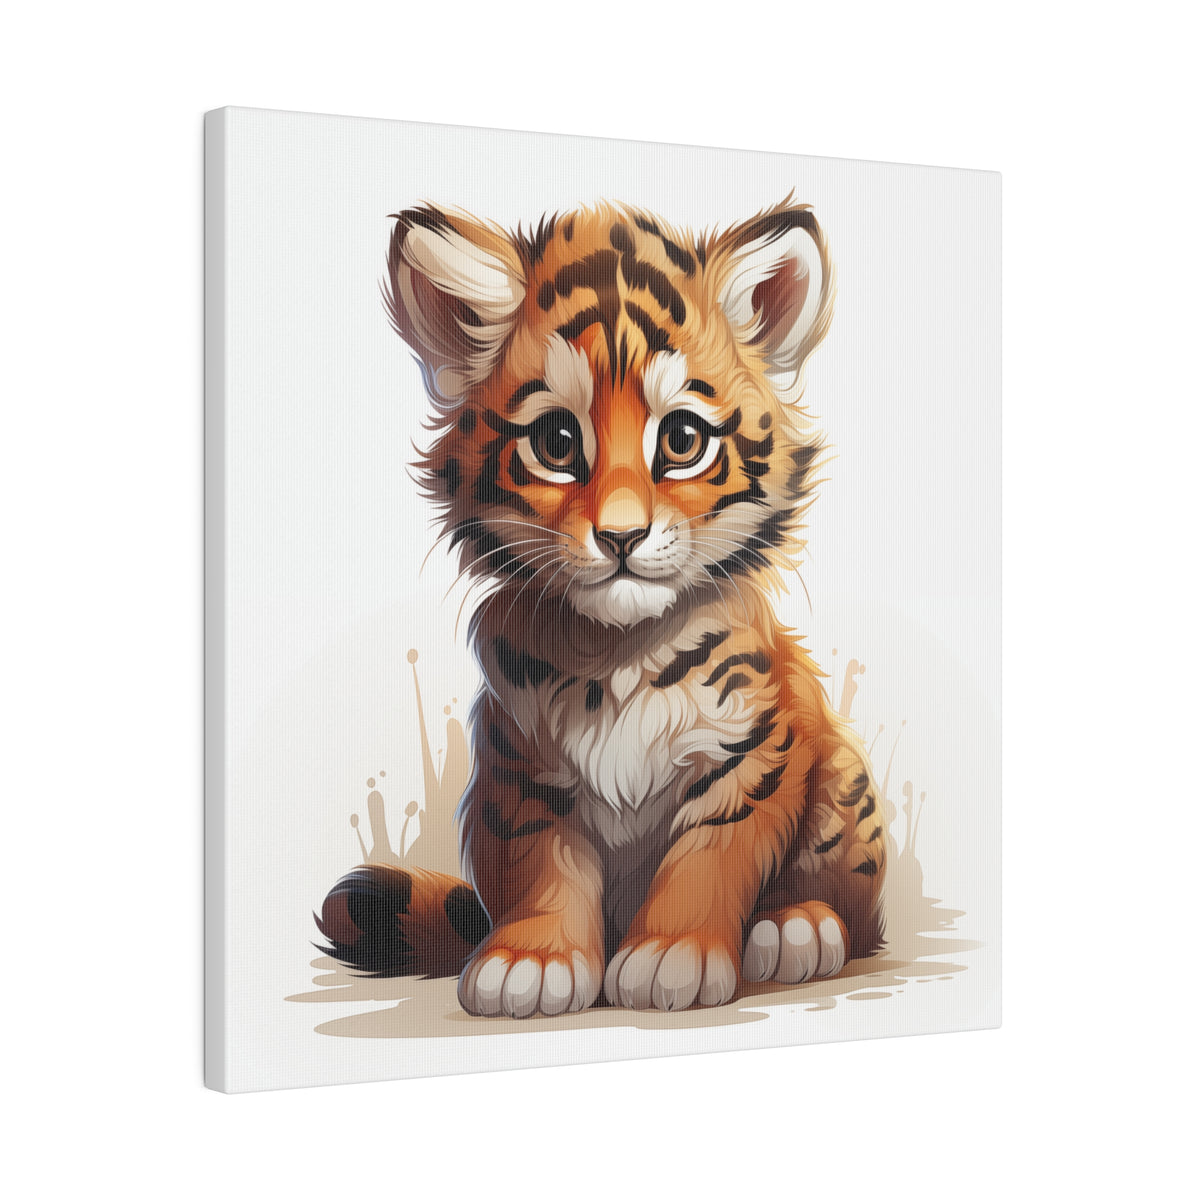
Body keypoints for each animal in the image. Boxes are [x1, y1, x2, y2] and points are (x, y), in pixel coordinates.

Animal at [315, 197, 886, 1016]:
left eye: (681, 439)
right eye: (557, 441)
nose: (621, 536)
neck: (619, 647)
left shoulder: (752, 751)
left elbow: (709, 852)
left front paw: (672, 954)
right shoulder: (517, 764)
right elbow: (539, 864)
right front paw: (531, 960)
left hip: (841, 779)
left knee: (854, 909)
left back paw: (796, 927)